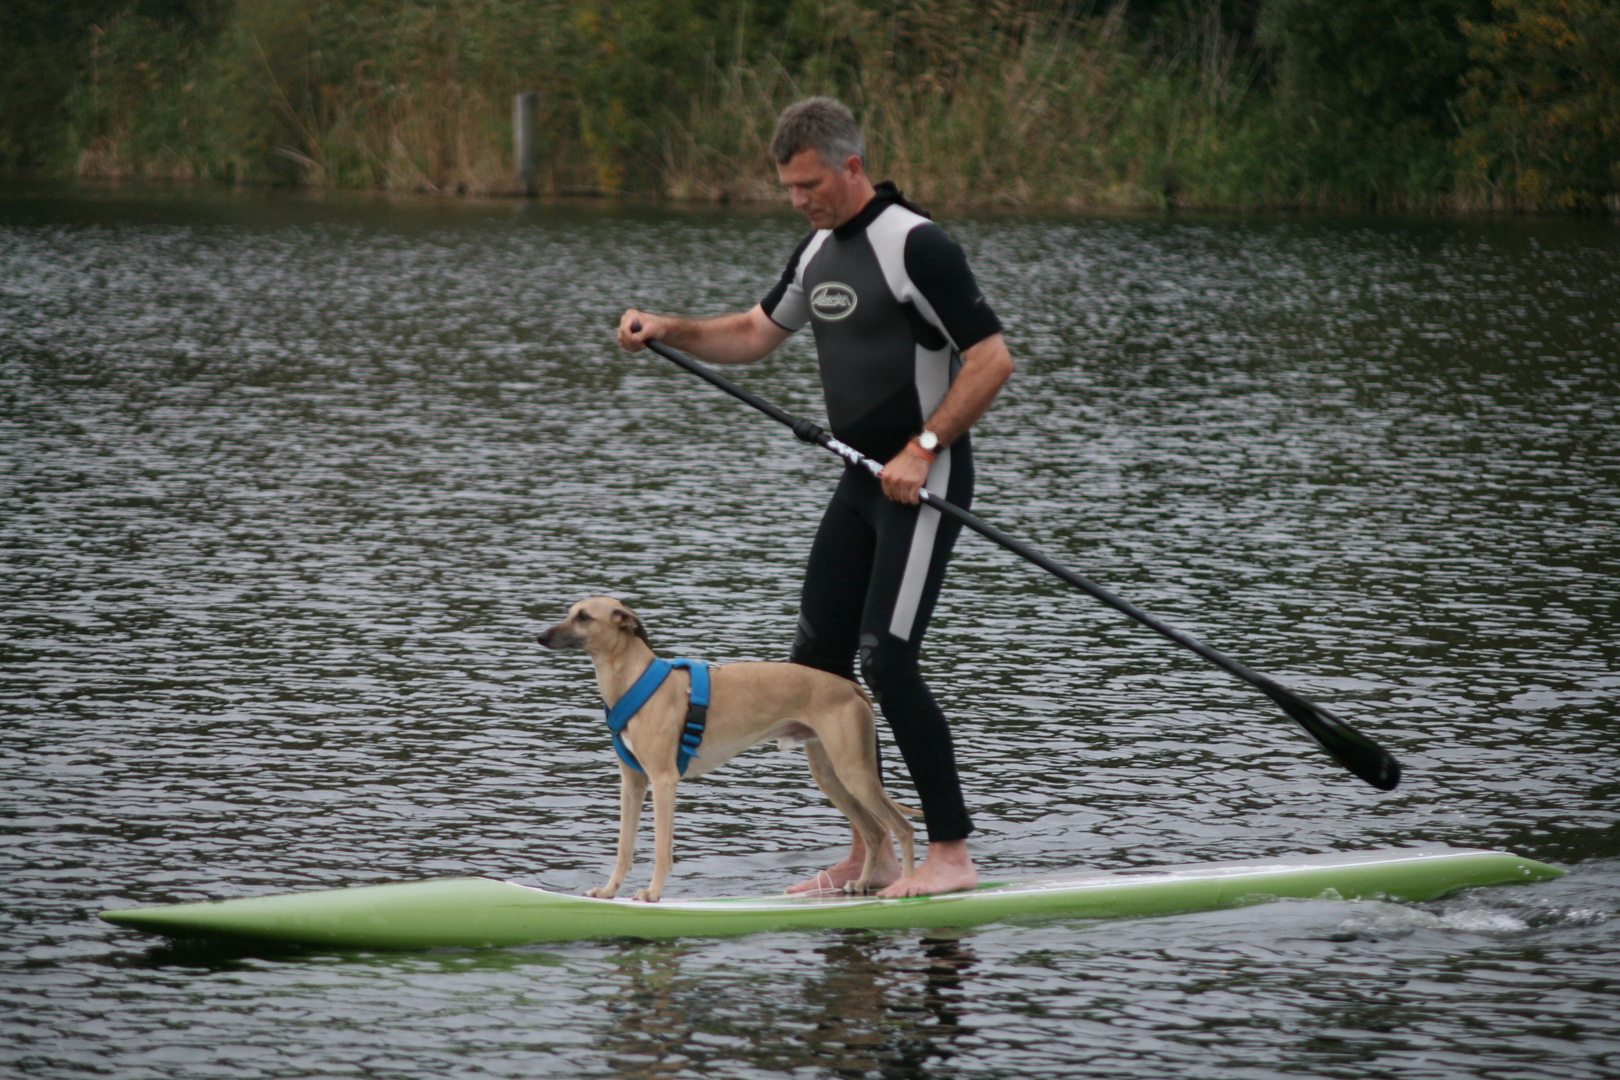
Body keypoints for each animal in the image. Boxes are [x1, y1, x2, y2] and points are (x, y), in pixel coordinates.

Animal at [541, 599, 913, 906]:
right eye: (569, 611)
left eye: (584, 616)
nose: (540, 636)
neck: (634, 681)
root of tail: (850, 686)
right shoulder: (632, 782)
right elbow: (624, 847)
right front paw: (608, 891)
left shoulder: (663, 780)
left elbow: (662, 849)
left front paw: (653, 892)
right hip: (832, 777)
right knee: (876, 831)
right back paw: (862, 884)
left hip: (855, 774)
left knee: (902, 827)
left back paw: (908, 886)